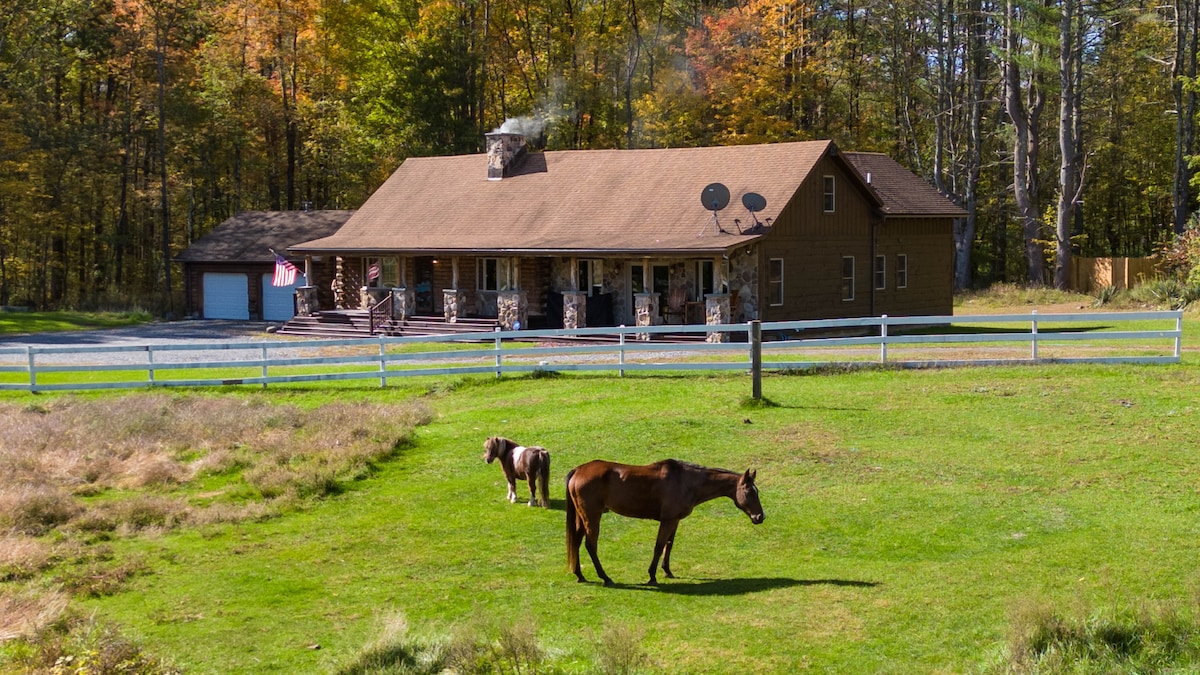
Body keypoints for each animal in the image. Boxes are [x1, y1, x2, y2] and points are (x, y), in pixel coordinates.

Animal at [566, 456, 763, 583]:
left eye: (756, 491)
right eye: (749, 492)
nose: (760, 517)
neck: (686, 481)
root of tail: (579, 470)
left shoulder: (674, 520)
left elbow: (669, 544)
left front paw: (667, 571)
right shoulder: (667, 520)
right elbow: (659, 546)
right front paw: (652, 576)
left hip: (582, 517)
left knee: (576, 541)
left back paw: (580, 575)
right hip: (592, 517)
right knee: (591, 545)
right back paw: (605, 577)